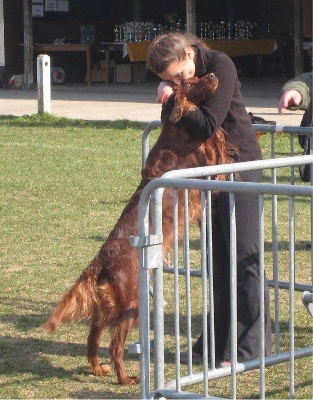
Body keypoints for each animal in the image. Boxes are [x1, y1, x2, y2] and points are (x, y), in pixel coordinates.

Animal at [41, 73, 236, 386]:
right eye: (192, 81)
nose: (214, 75)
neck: (176, 129)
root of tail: (99, 262)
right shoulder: (205, 160)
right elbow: (219, 150)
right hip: (131, 303)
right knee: (115, 344)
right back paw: (125, 378)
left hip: (110, 305)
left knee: (93, 334)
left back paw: (97, 368)